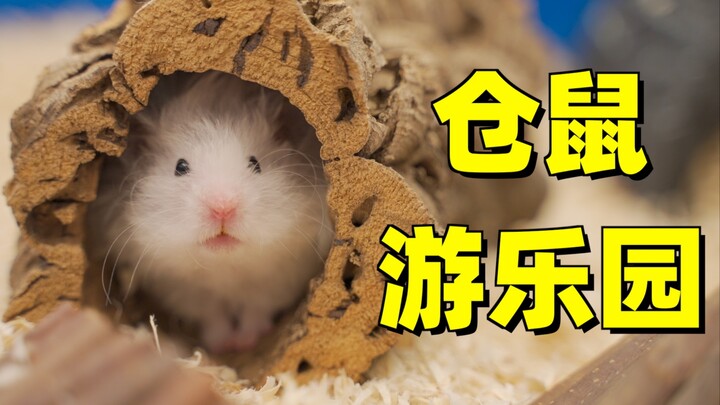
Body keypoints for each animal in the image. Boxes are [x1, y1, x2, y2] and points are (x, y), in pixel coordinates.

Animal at [85, 71, 332, 353]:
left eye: (255, 164)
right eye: (180, 167)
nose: (223, 207)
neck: (225, 268)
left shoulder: (281, 277)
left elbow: (257, 308)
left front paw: (245, 341)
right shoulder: (181, 290)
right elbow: (212, 315)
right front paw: (222, 344)